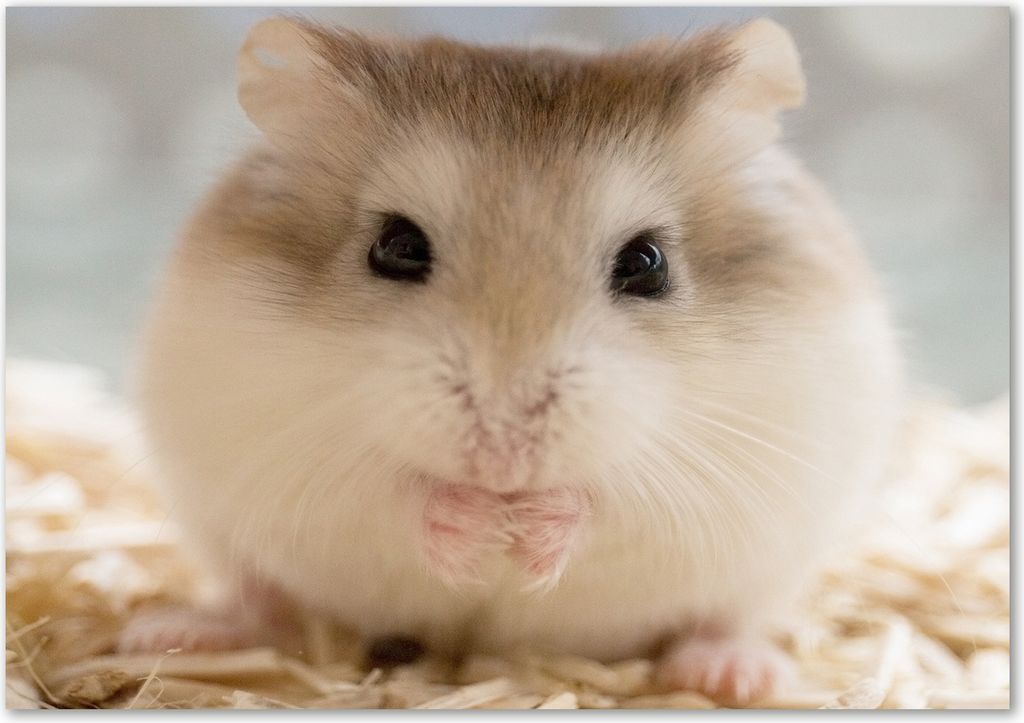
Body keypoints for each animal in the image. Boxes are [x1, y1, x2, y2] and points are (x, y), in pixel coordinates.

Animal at [123, 17, 903, 706]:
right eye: (397, 247)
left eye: (646, 264)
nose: (503, 457)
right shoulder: (291, 448)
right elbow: (394, 489)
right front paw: (478, 527)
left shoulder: (718, 473)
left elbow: (610, 499)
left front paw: (527, 530)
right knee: (261, 599)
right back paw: (170, 633)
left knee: (727, 617)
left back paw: (733, 675)